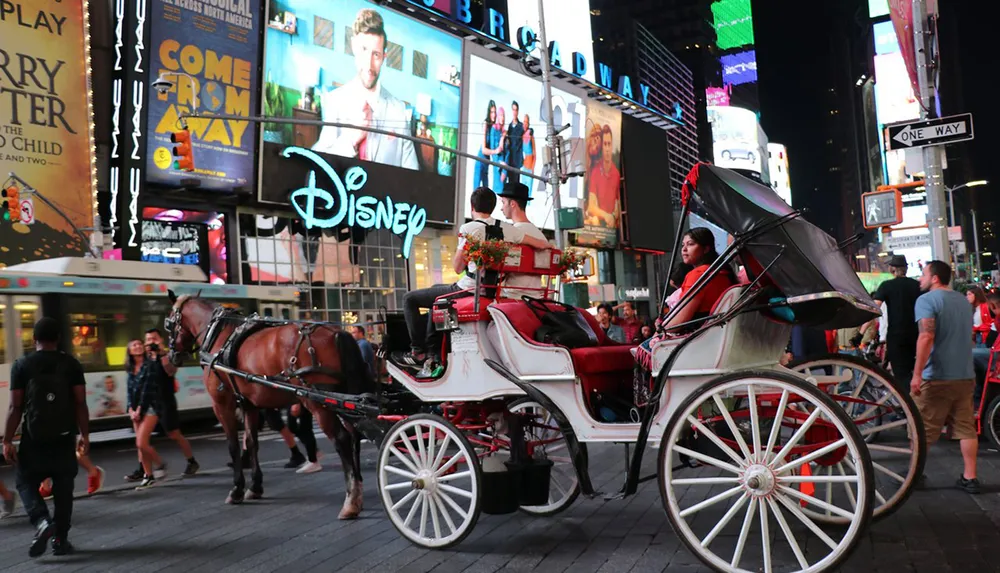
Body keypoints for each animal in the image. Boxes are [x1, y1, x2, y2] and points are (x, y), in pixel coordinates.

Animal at [166, 290, 374, 512]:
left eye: (168, 324)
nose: (171, 356)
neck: (219, 337)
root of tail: (336, 333)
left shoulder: (222, 403)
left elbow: (233, 445)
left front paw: (237, 489)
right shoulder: (248, 404)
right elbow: (251, 442)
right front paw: (255, 486)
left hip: (318, 402)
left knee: (342, 438)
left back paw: (351, 499)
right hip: (345, 399)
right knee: (354, 435)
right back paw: (357, 485)